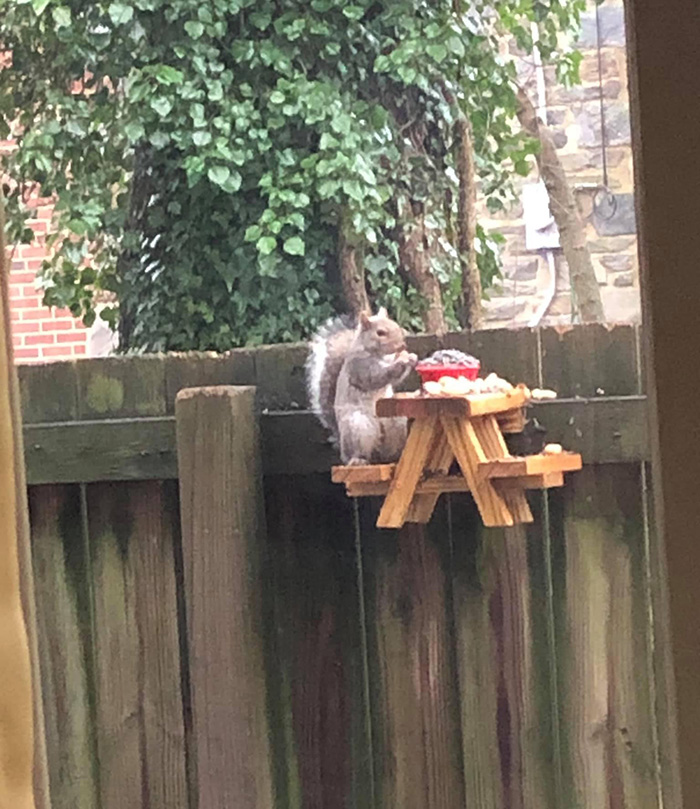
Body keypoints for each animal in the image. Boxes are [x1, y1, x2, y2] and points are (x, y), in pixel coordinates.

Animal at [306, 308, 417, 465]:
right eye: (380, 333)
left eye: (396, 324)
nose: (402, 345)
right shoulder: (360, 367)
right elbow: (377, 376)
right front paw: (402, 360)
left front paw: (411, 357)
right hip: (358, 427)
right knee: (358, 453)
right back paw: (358, 460)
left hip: (395, 422)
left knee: (386, 453)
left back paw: (394, 456)